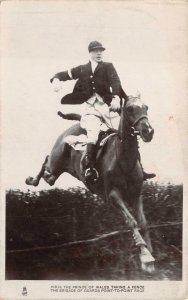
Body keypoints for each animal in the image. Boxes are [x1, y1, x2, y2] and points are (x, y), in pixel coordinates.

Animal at [26, 96, 156, 274]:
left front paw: (150, 256)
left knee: (49, 173)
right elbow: (132, 221)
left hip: (60, 170)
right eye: (129, 109)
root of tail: (77, 123)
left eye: (146, 107)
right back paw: (31, 180)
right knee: (46, 163)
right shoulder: (113, 195)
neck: (123, 159)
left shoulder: (136, 195)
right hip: (55, 163)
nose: (148, 131)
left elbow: (143, 222)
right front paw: (145, 256)